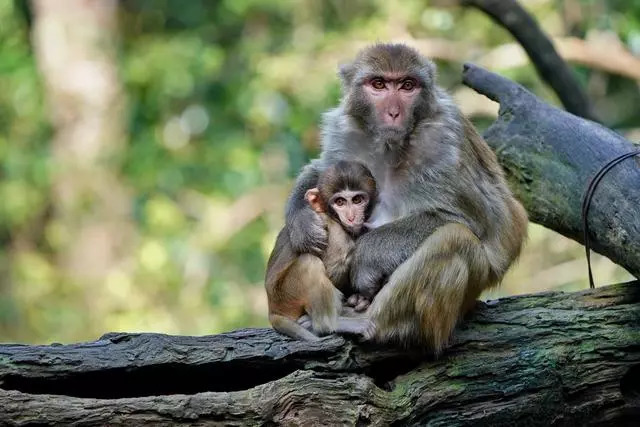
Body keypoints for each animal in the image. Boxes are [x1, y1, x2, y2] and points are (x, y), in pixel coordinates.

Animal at [264, 160, 376, 342]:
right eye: (340, 202)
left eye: (357, 200)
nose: (351, 217)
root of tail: (272, 311)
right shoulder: (335, 235)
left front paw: (359, 298)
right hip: (286, 294)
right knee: (309, 263)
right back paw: (331, 324)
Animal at [288, 43, 528, 352]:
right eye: (378, 84)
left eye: (407, 86)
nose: (393, 112)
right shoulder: (344, 129)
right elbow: (321, 171)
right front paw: (301, 222)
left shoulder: (445, 139)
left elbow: (469, 219)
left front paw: (366, 257)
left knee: (454, 239)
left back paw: (372, 324)